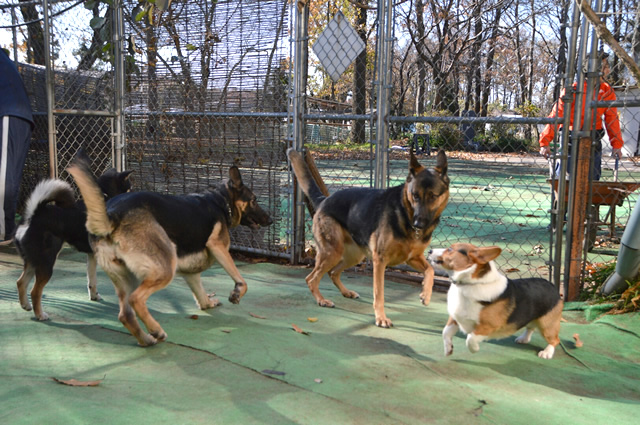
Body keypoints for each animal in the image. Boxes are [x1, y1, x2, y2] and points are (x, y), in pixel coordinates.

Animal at [14, 167, 132, 320]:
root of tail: (32, 216)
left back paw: (26, 306)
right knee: (35, 291)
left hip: (34, 261)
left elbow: (92, 280)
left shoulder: (92, 255)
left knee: (21, 282)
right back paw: (40, 314)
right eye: (129, 188)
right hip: (46, 262)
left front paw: (94, 296)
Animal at [66, 156, 272, 344]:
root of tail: (112, 215)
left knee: (125, 314)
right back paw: (156, 330)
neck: (221, 201)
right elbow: (242, 281)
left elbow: (201, 294)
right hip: (164, 269)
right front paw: (236, 293)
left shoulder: (191, 273)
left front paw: (208, 304)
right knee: (136, 299)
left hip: (125, 276)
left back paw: (147, 339)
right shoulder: (218, 247)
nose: (270, 220)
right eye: (254, 200)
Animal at [286, 147, 450, 326]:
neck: (404, 211)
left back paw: (346, 292)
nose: (418, 223)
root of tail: (325, 199)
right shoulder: (380, 261)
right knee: (311, 279)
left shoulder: (413, 258)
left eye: (433, 196)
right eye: (415, 195)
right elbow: (379, 293)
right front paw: (381, 318)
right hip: (332, 252)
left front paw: (426, 294)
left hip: (354, 256)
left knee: (333, 273)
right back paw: (322, 300)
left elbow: (430, 270)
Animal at [430, 243, 560, 360]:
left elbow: (470, 338)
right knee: (530, 327)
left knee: (555, 340)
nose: (430, 251)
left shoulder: (487, 326)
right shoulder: (455, 318)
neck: (469, 284)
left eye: (450, 249)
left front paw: (474, 349)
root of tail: (552, 286)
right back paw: (523, 339)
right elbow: (445, 332)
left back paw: (547, 353)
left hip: (546, 325)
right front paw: (448, 349)